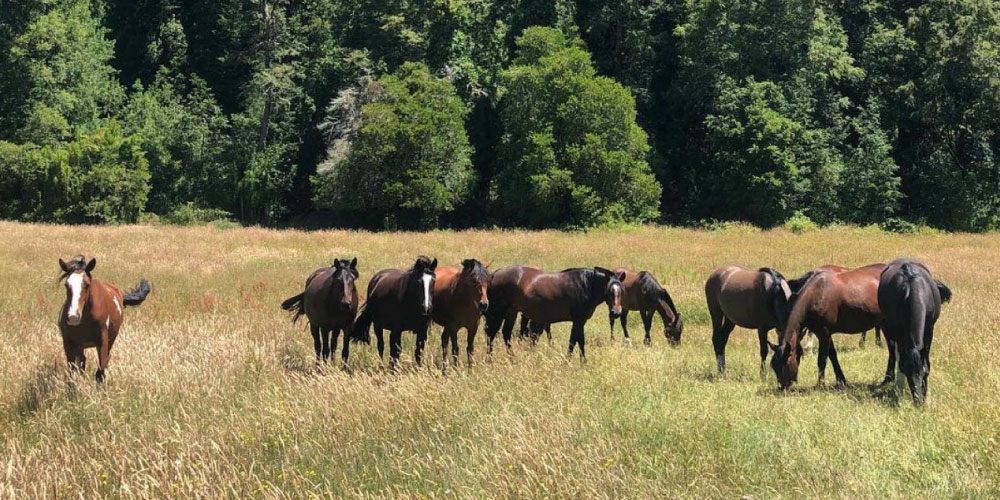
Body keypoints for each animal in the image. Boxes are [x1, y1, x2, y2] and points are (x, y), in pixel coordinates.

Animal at [56, 256, 150, 384]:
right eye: (66, 285)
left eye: (87, 284)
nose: (73, 317)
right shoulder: (68, 343)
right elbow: (72, 373)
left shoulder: (102, 343)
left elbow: (100, 372)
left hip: (111, 339)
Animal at [486, 268, 624, 362]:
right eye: (609, 290)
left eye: (621, 290)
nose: (616, 313)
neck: (585, 285)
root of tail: (494, 274)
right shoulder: (578, 320)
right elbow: (575, 341)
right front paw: (573, 361)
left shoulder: (580, 321)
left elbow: (577, 340)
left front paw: (579, 361)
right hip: (499, 312)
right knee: (492, 334)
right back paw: (490, 359)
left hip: (511, 312)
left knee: (505, 333)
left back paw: (512, 357)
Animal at [876, 260, 952, 404]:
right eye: (908, 373)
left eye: (923, 373)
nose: (918, 401)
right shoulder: (897, 330)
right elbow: (900, 359)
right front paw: (899, 390)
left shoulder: (929, 329)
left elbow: (927, 361)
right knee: (893, 352)